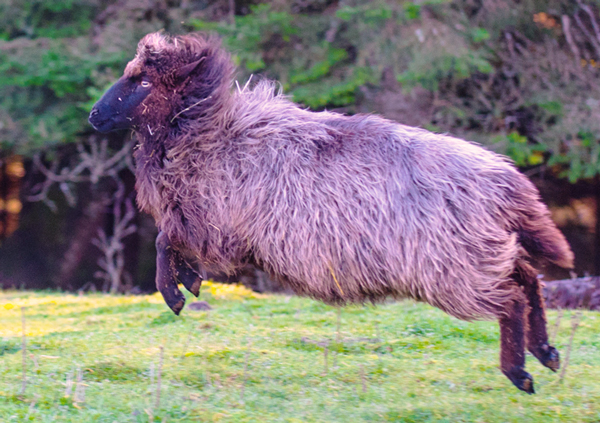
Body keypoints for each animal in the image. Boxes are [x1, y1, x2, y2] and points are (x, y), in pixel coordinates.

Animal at [88, 32, 572, 394]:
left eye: (142, 83)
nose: (93, 115)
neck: (208, 131)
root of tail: (505, 181)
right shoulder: (208, 224)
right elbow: (168, 241)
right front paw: (189, 283)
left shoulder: (215, 224)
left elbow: (163, 241)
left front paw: (176, 293)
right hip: (481, 250)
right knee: (529, 278)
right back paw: (547, 354)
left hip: (455, 267)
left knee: (512, 297)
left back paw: (520, 372)